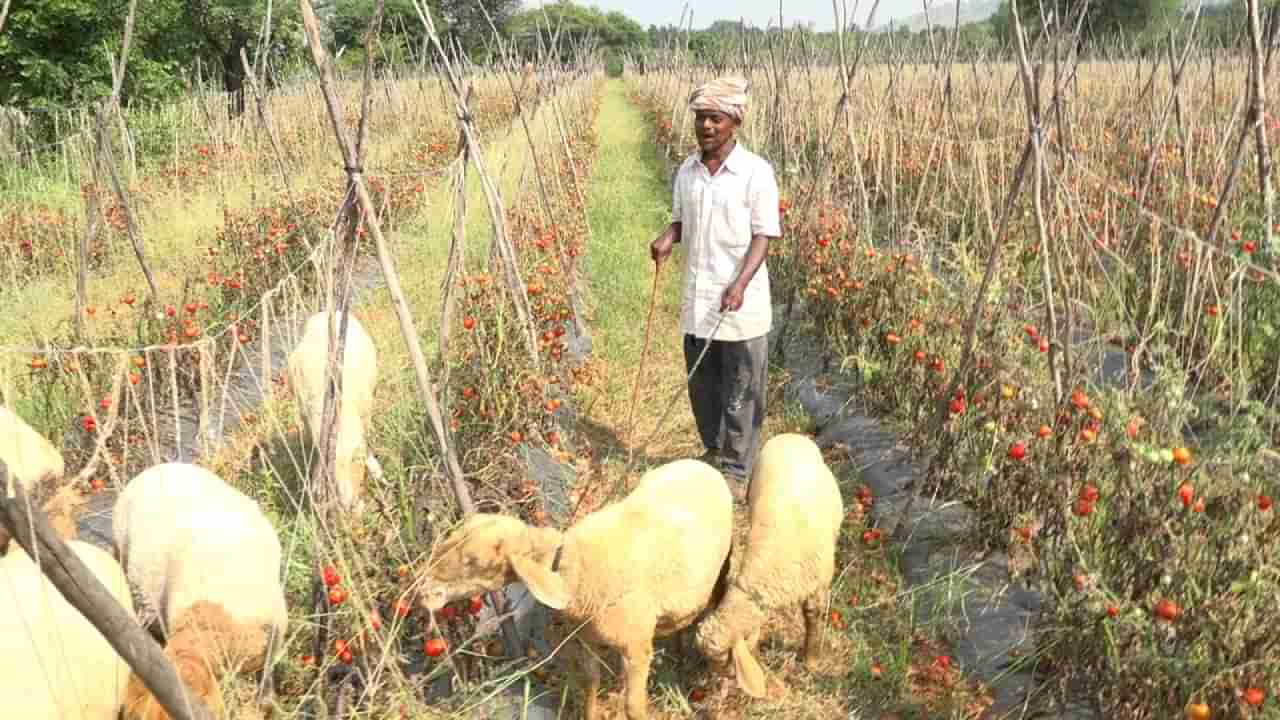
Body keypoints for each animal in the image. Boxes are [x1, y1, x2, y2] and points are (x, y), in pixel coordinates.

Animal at [291, 308, 384, 509]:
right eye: (331, 479)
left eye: (354, 464)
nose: (349, 504)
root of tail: (326, 311)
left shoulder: (365, 414)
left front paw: (376, 470)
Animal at [414, 456, 737, 712]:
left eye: (474, 561)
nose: (422, 588)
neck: (571, 570)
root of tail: (701, 464)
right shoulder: (586, 639)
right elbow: (591, 685)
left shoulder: (636, 647)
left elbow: (633, 707)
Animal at [696, 430, 844, 696]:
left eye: (724, 661)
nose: (716, 685)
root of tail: (790, 435)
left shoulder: (818, 588)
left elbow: (814, 621)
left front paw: (811, 662)